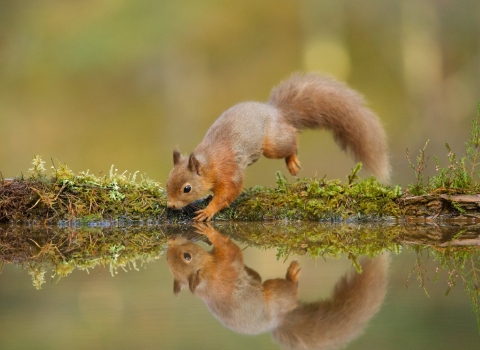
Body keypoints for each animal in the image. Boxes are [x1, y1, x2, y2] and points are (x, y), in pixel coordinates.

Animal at [166, 73, 390, 221]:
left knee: (292, 138)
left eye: (187, 188)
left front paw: (208, 211)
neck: (209, 162)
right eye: (167, 182)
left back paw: (292, 160)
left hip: (273, 144)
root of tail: (276, 112)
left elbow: (230, 191)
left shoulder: (229, 171)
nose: (170, 205)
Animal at [167, 224, 388, 350]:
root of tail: (279, 320)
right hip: (275, 294)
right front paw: (209, 230)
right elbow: (231, 249)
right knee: (288, 290)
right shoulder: (227, 267)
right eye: (187, 256)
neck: (209, 276)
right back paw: (293, 275)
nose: (172, 240)